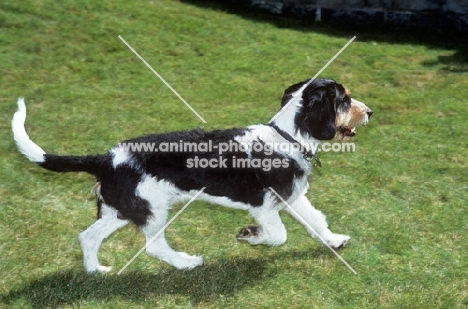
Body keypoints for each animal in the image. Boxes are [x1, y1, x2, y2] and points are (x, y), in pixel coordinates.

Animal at [11, 77, 372, 272]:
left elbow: (316, 221)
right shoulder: (265, 207)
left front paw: (335, 241)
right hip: (153, 210)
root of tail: (106, 158)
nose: (370, 111)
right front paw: (250, 236)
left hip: (122, 209)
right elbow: (279, 235)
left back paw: (95, 271)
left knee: (88, 236)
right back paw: (186, 263)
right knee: (154, 247)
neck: (288, 137)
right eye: (343, 100)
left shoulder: (294, 197)